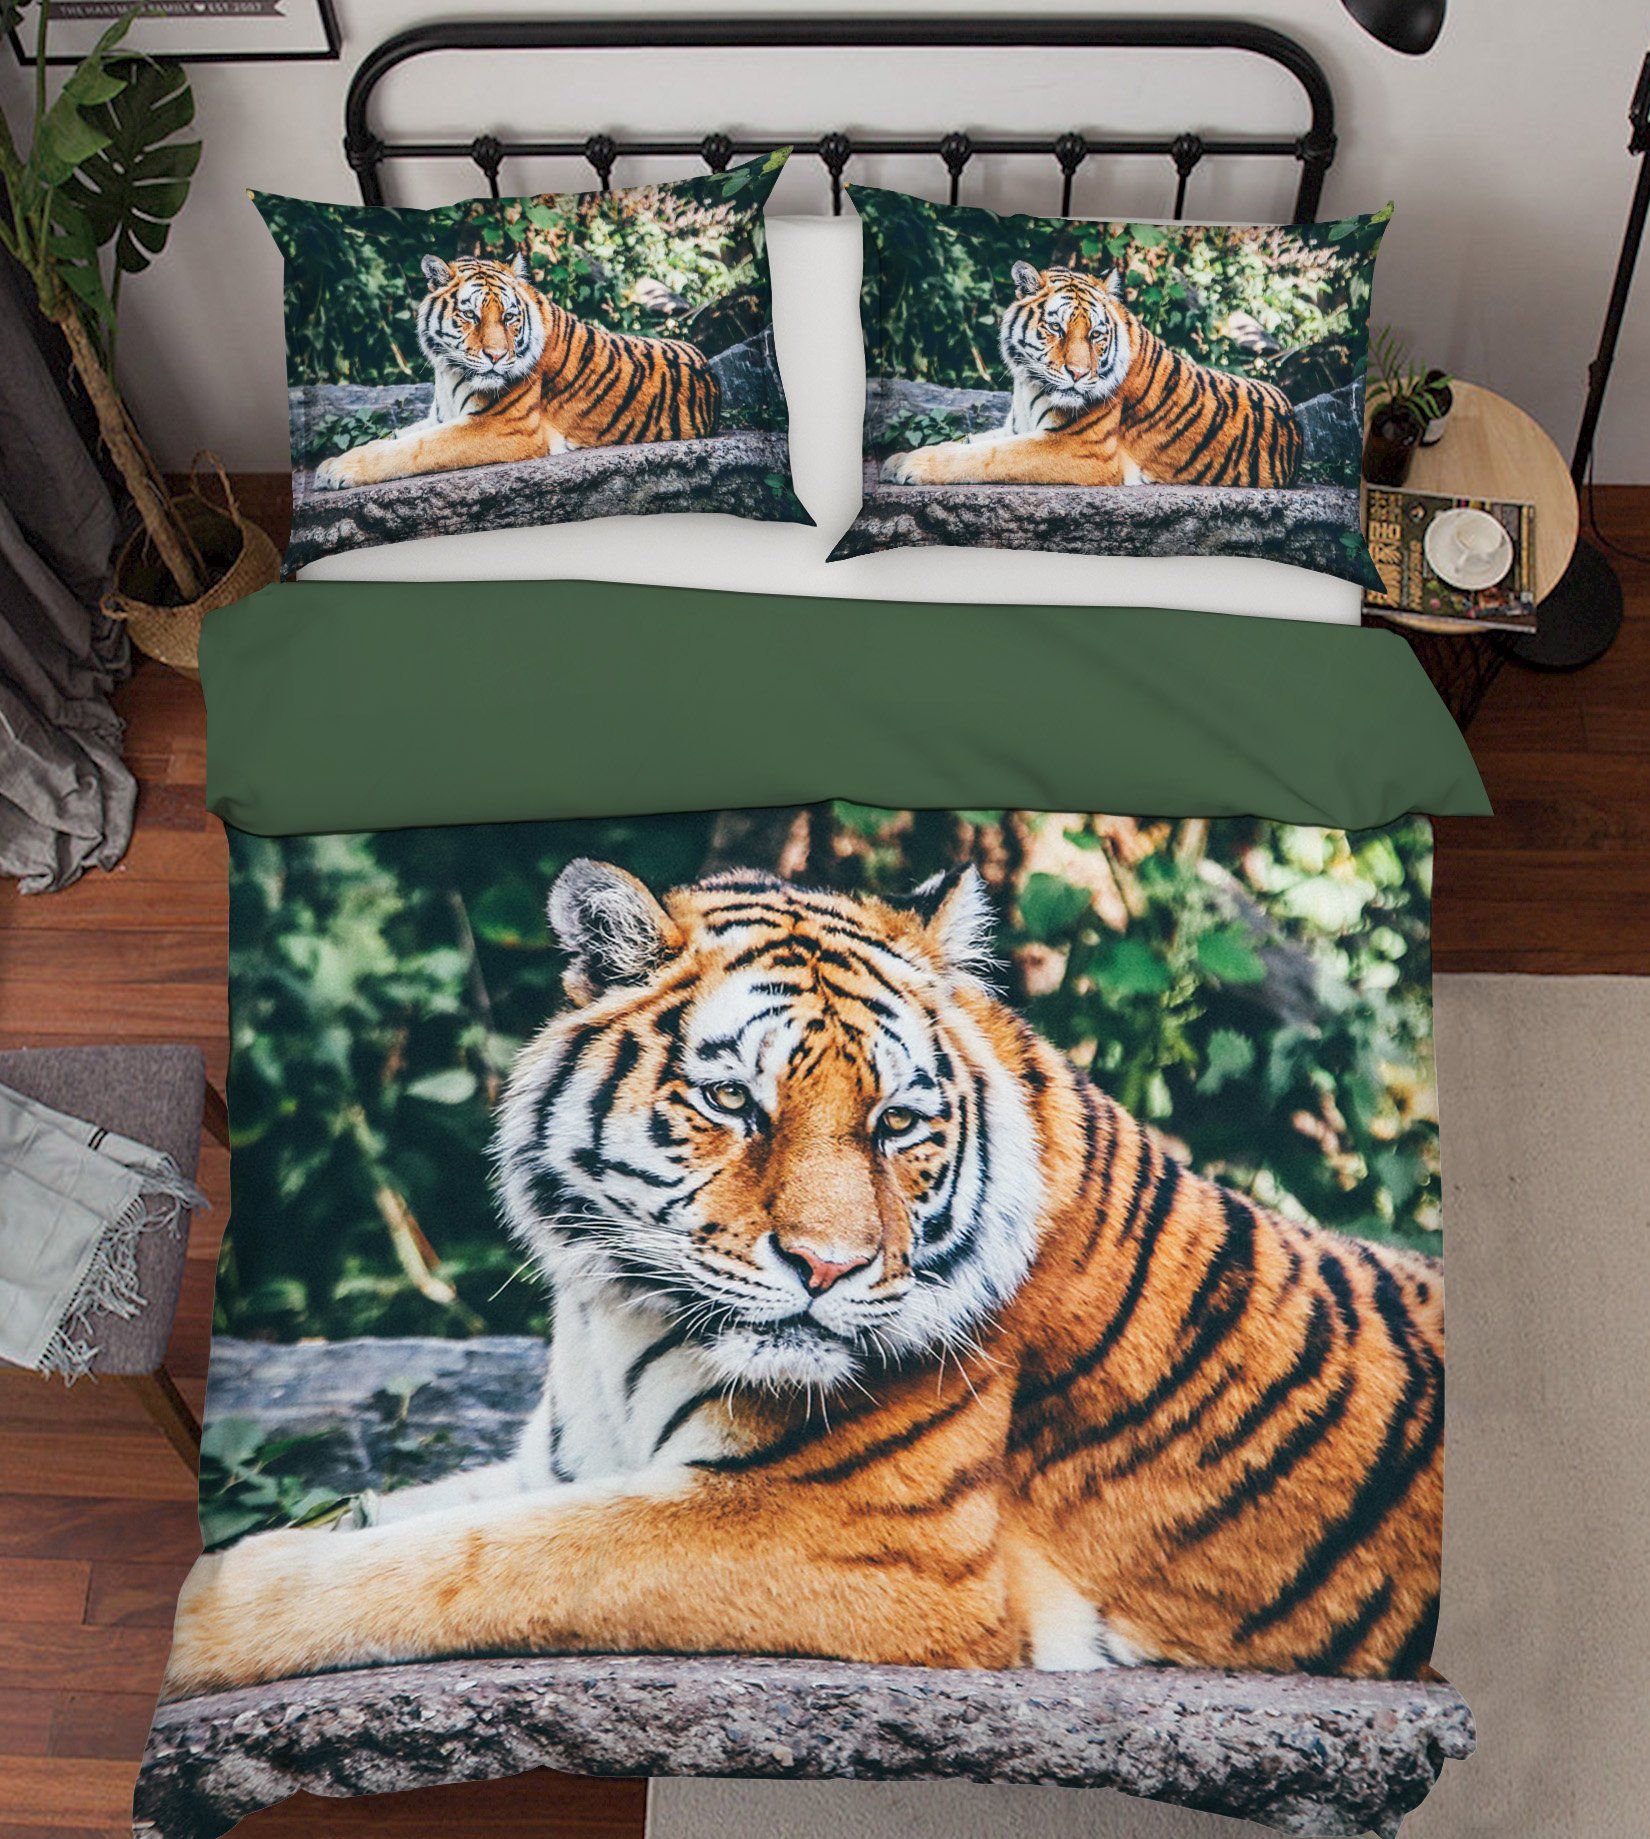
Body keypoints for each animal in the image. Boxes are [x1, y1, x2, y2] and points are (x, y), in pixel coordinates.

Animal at [162, 856, 1442, 1700]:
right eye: (734, 1101)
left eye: (896, 1123)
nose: (828, 1267)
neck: (618, 1316)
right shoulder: (561, 1463)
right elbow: (396, 1518)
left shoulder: (846, 1535)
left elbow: (475, 1563)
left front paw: (196, 1617)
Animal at [314, 251, 719, 491]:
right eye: (470, 315)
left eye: (509, 316)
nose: (496, 356)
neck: (448, 372)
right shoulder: (440, 415)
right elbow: (396, 436)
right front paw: (331, 463)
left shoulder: (507, 426)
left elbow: (417, 447)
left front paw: (338, 470)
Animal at [882, 262, 1303, 490]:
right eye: (1057, 329)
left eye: (1096, 335)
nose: (1078, 374)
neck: (1027, 385)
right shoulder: (1016, 427)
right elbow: (968, 441)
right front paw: (897, 458)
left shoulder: (1081, 448)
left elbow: (988, 456)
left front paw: (912, 466)